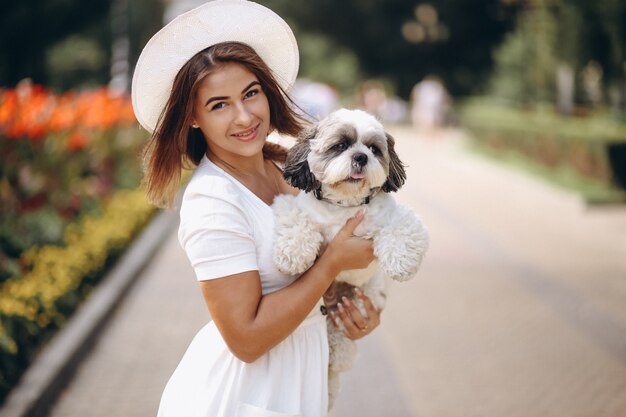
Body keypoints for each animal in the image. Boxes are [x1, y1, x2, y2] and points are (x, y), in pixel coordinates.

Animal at [272, 109, 428, 408]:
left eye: (374, 149)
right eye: (341, 145)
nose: (361, 157)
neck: (345, 206)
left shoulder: (395, 216)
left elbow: (403, 226)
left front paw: (401, 262)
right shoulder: (295, 206)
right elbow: (295, 219)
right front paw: (293, 254)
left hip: (359, 301)